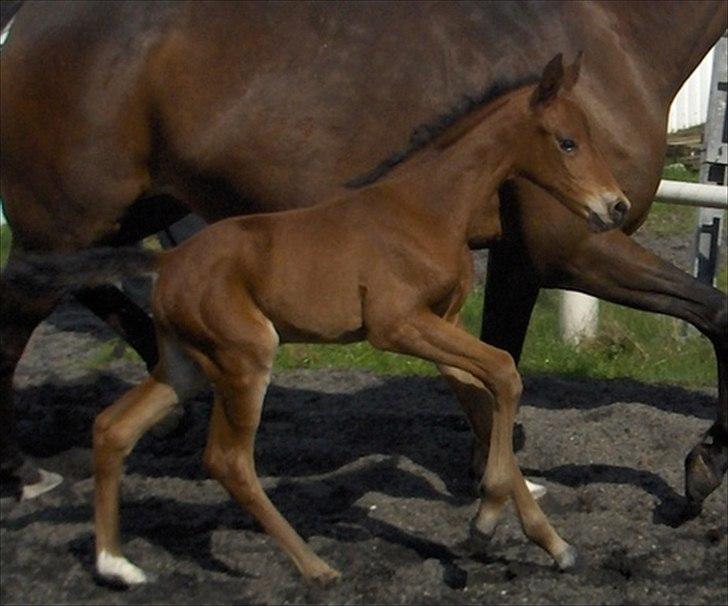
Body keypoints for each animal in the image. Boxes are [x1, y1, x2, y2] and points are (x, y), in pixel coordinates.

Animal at [89, 54, 624, 588]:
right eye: (568, 141)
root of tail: (167, 262)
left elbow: (486, 396)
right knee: (228, 460)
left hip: (187, 365)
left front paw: (551, 544)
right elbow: (505, 373)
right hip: (245, 356)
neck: (425, 209)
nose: (615, 206)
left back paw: (116, 563)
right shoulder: (397, 326)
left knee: (113, 427)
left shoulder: (443, 323)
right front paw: (485, 522)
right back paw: (315, 567)